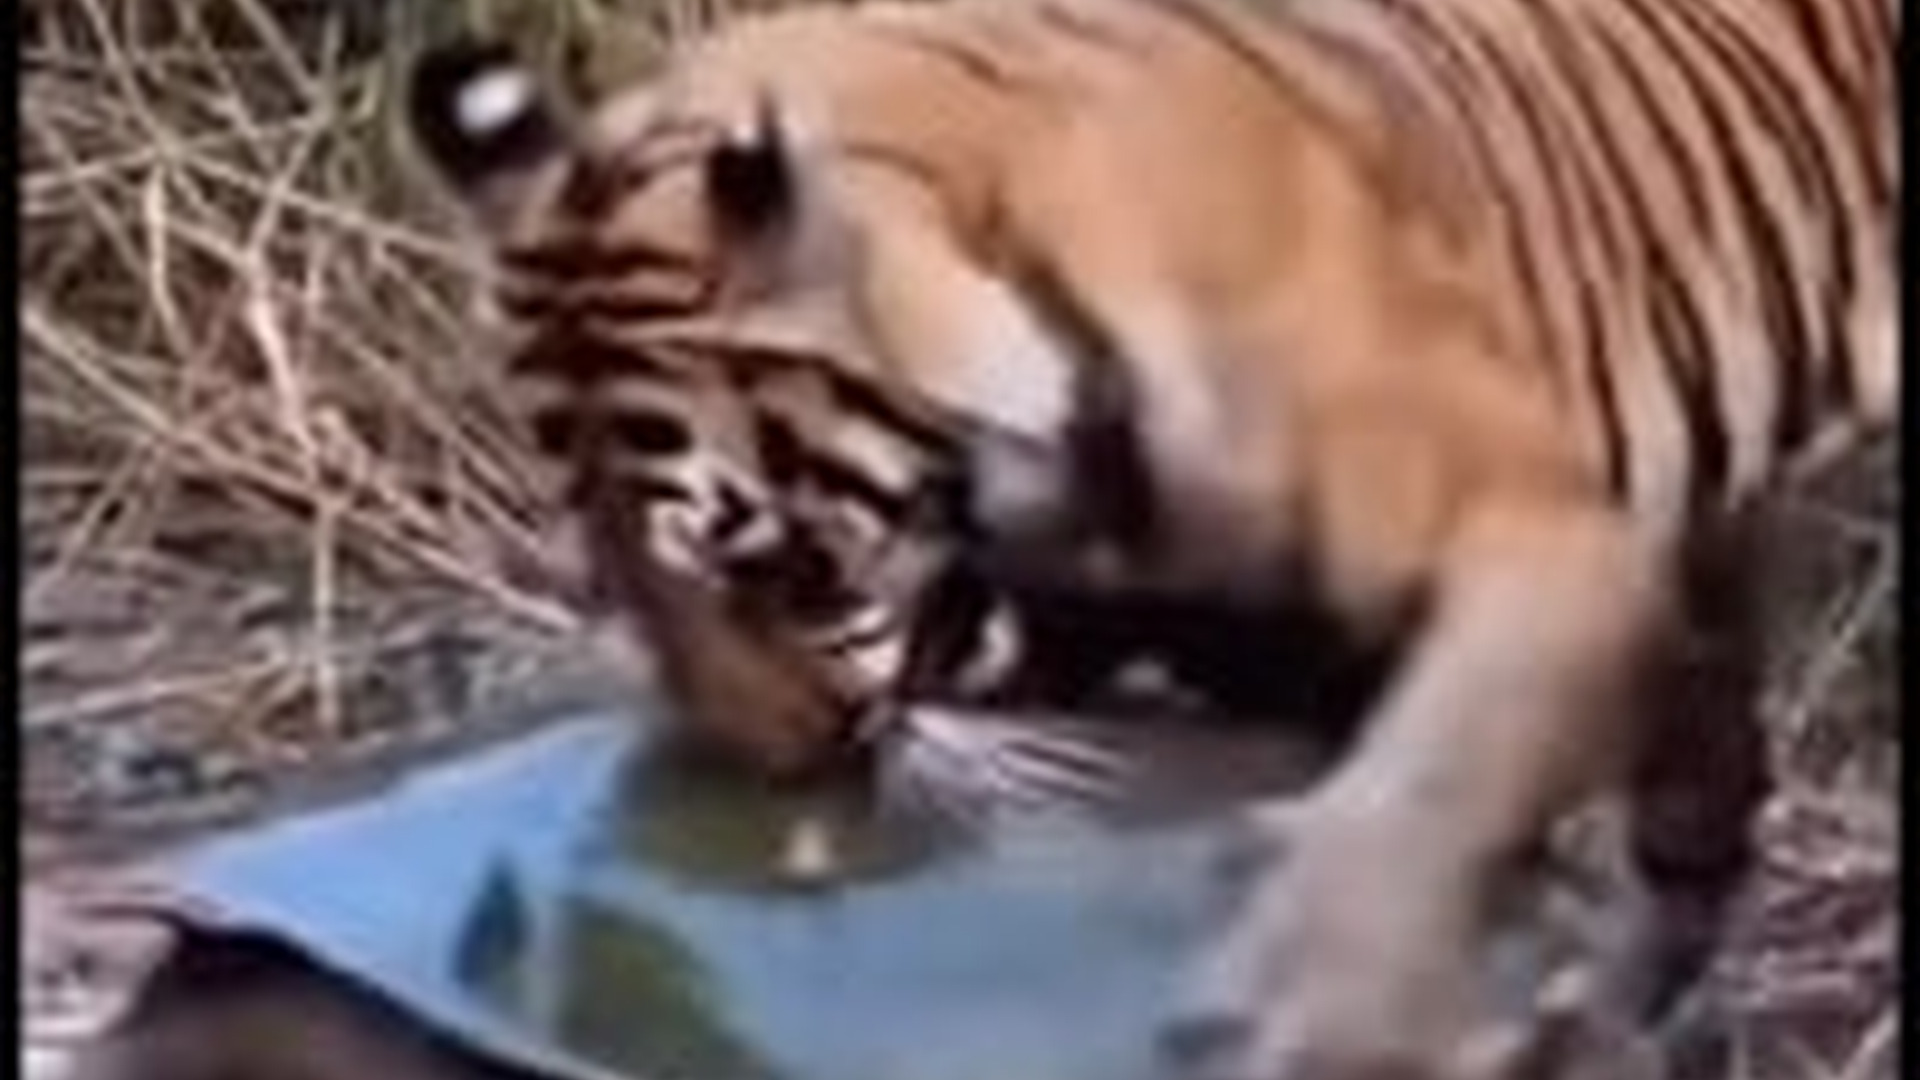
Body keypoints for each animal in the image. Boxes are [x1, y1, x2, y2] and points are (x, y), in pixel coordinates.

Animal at [404, 0, 1898, 1076]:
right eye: (618, 586)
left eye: (767, 561)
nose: (780, 772)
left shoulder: (1536, 531)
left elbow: (1423, 786)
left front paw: (1322, 998)